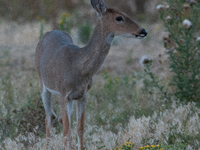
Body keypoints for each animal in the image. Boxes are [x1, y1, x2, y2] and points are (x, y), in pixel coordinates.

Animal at [34, 0, 147, 150]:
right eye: (119, 17)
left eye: (126, 13)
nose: (143, 31)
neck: (77, 67)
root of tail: (47, 32)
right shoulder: (63, 93)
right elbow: (66, 131)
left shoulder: (83, 94)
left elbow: (79, 129)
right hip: (43, 84)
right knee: (49, 119)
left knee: (59, 119)